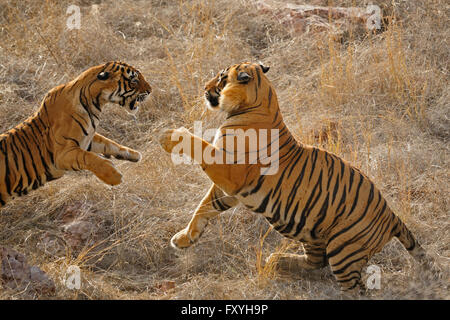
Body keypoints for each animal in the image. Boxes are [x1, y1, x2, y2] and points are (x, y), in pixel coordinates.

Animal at [0, 61, 152, 209]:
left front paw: (135, 155)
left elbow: (109, 144)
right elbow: (89, 158)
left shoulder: (88, 139)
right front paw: (114, 176)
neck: (95, 103)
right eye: (134, 81)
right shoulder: (62, 154)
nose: (150, 90)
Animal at [159, 61, 436, 292]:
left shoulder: (231, 172)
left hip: (343, 249)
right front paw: (183, 239)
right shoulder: (230, 190)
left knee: (355, 288)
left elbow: (200, 147)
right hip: (311, 232)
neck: (258, 100)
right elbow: (204, 208)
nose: (204, 88)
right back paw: (277, 260)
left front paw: (171, 136)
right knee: (316, 262)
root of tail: (391, 216)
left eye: (220, 78)